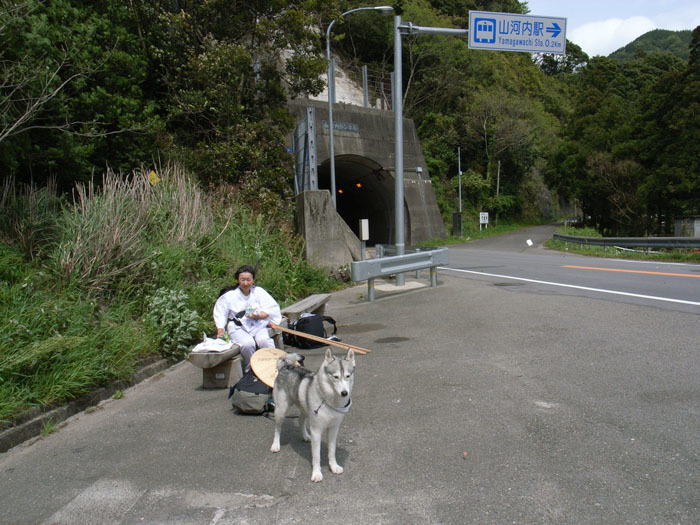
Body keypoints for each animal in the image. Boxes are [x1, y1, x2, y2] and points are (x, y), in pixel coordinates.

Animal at [270, 346, 356, 482]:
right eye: (335, 377)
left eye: (348, 376)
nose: (344, 393)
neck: (329, 400)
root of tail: (286, 366)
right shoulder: (316, 430)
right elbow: (316, 456)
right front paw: (316, 473)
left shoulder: (334, 429)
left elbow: (332, 451)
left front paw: (334, 466)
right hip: (281, 410)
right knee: (277, 429)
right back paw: (276, 445)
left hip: (305, 409)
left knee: (300, 420)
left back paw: (305, 436)